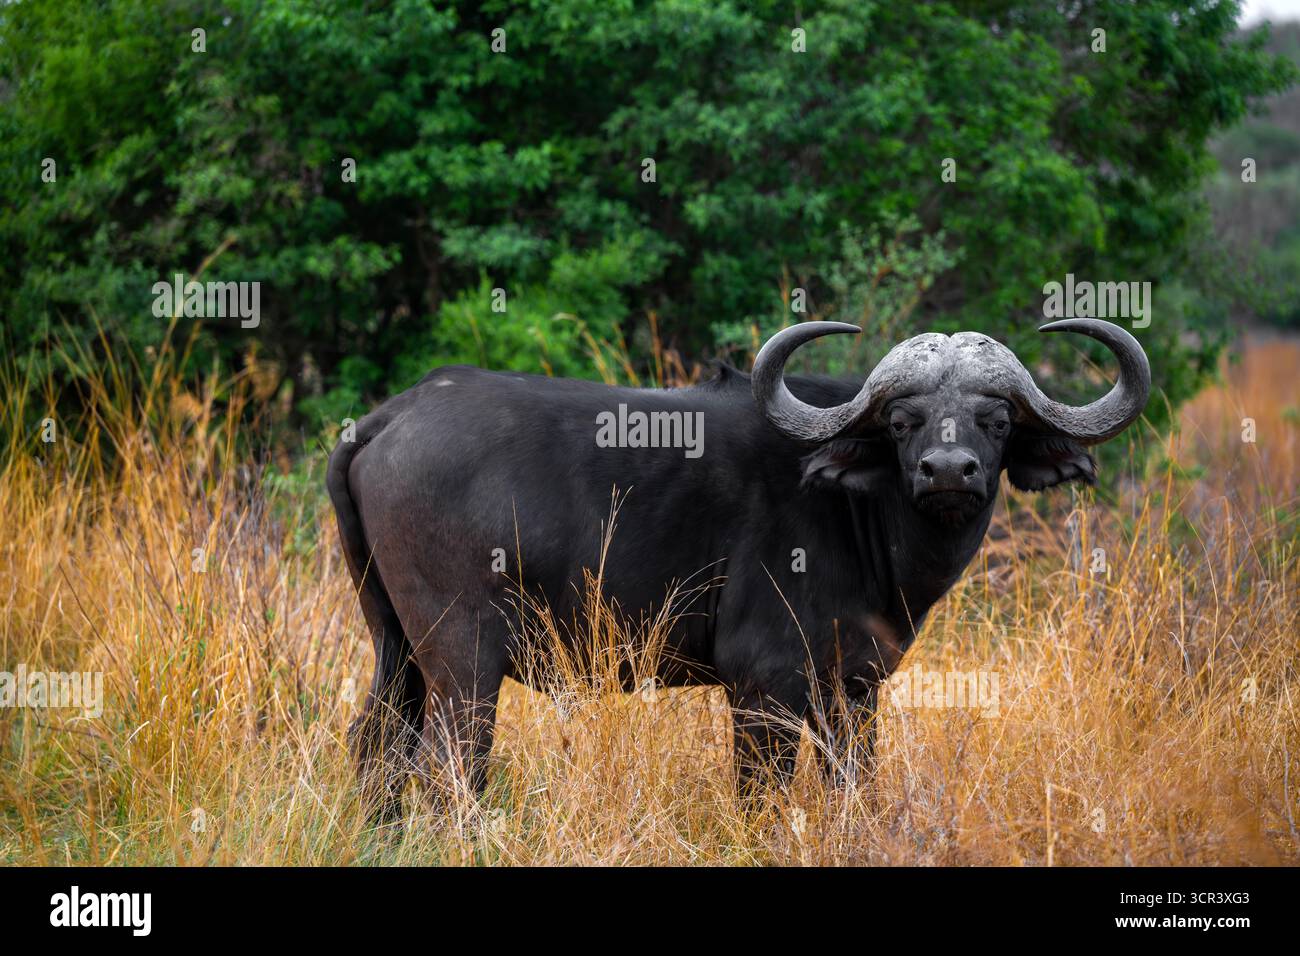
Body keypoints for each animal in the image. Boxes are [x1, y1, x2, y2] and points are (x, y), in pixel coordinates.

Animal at [327, 318, 1149, 818]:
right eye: (902, 421)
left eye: (996, 419)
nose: (949, 472)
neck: (858, 510)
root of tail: (387, 419)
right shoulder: (763, 684)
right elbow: (763, 795)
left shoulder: (854, 692)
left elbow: (854, 788)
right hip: (463, 661)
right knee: (448, 767)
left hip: (396, 650)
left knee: (375, 747)